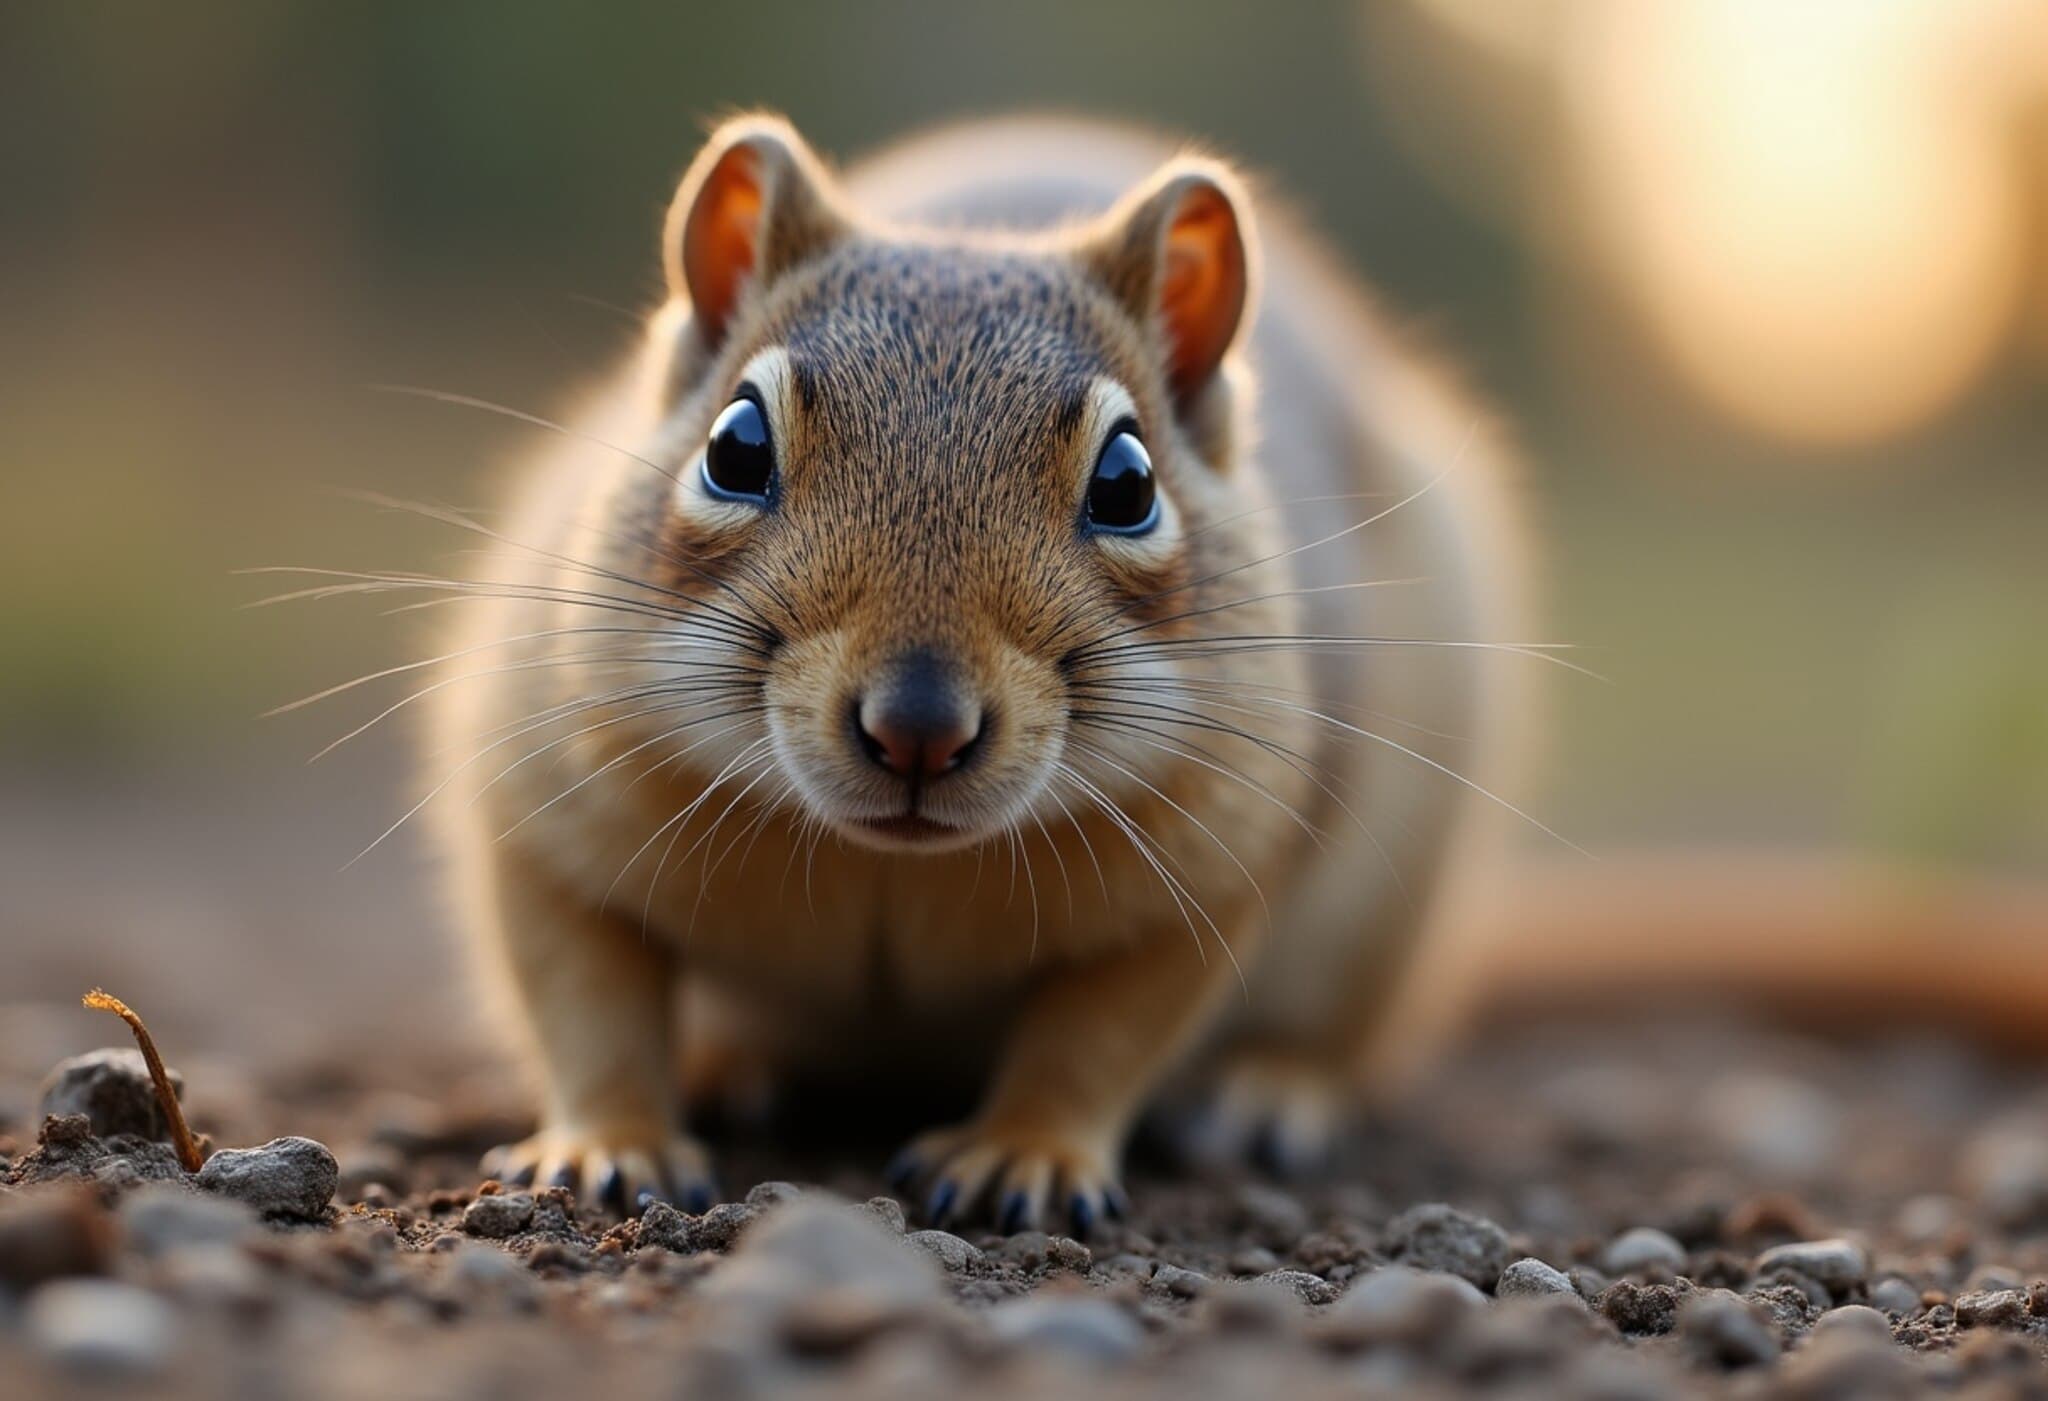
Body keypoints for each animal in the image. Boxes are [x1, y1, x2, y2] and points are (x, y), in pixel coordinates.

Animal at [425, 113, 1535, 1234]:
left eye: (1128, 484)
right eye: (733, 448)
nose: (917, 724)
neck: (889, 868)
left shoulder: (1207, 870)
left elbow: (1100, 1037)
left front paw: (1024, 1154)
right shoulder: (541, 803)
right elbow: (582, 995)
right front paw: (610, 1141)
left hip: (1379, 914)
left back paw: (1270, 1088)